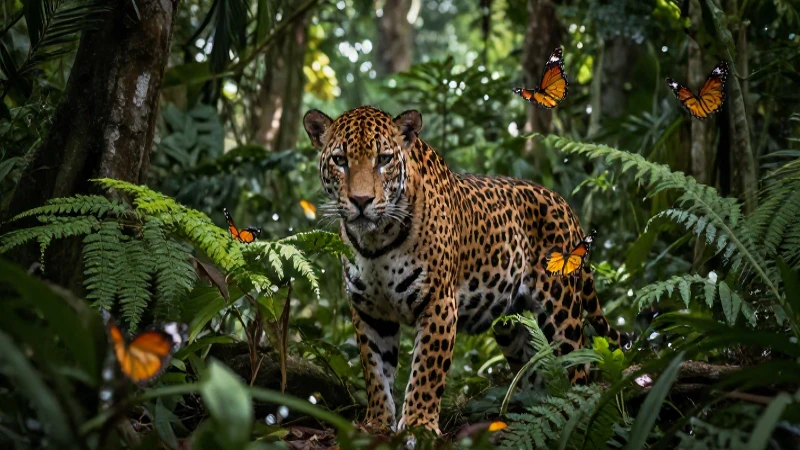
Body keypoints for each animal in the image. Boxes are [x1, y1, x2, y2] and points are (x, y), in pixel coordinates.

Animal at [302, 105, 629, 435]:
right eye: (340, 160)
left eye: (383, 159)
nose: (361, 201)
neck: (376, 240)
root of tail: (564, 204)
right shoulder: (370, 312)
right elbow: (375, 371)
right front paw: (378, 423)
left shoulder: (438, 302)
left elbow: (427, 370)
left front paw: (419, 425)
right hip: (511, 326)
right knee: (532, 368)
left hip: (562, 311)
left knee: (578, 362)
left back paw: (573, 412)